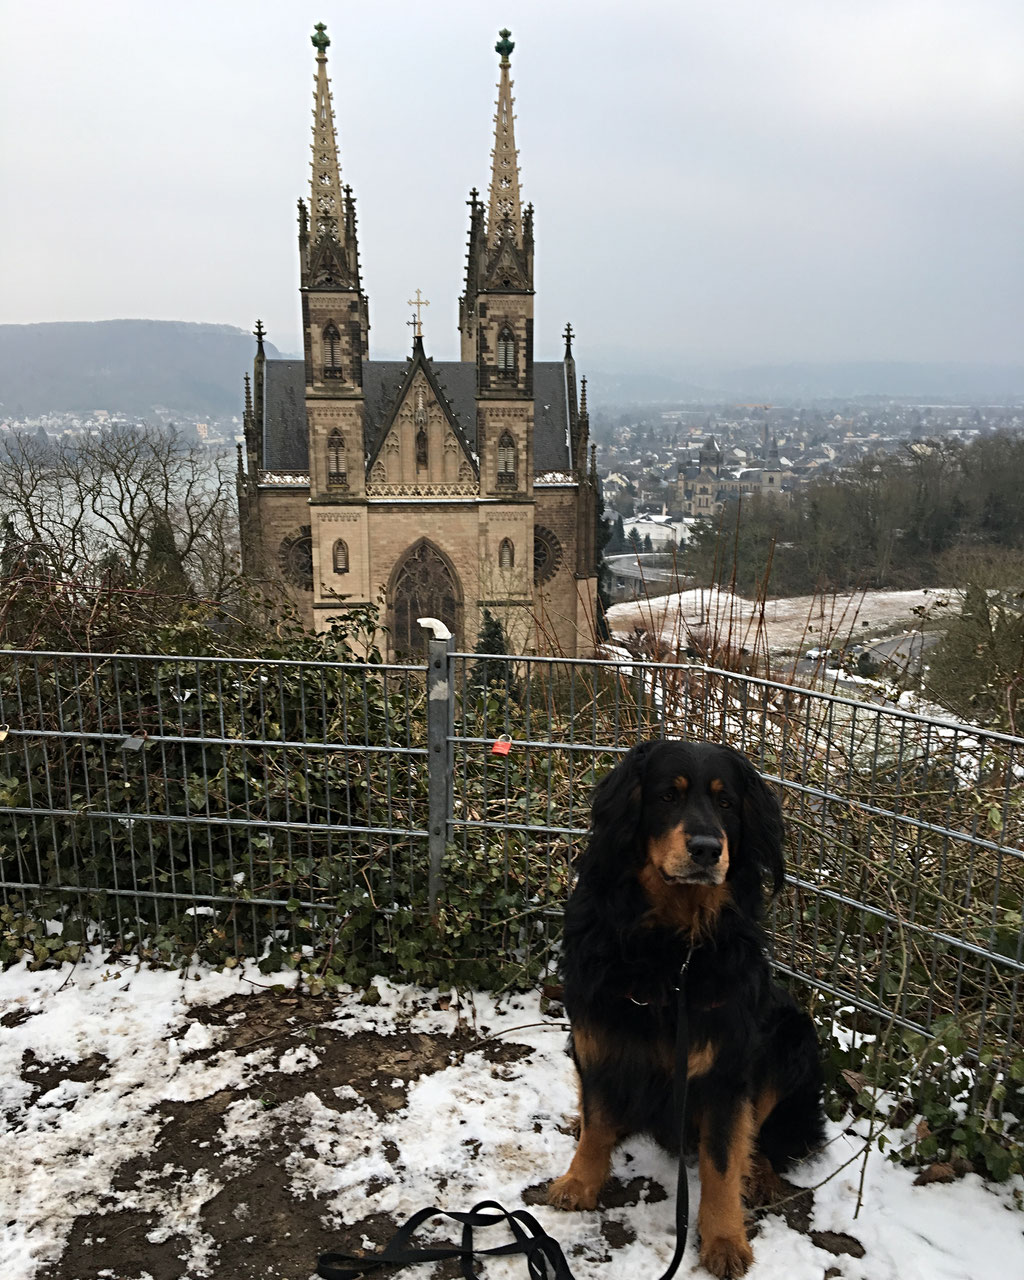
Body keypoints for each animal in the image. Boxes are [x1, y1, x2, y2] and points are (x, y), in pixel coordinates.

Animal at [552, 737, 824, 1274]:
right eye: (666, 796)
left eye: (727, 803)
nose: (706, 849)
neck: (672, 949)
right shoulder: (596, 1032)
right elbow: (598, 1118)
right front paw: (580, 1182)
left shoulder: (725, 1067)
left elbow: (721, 1160)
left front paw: (723, 1240)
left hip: (794, 1035)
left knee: (759, 1134)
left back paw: (760, 1174)